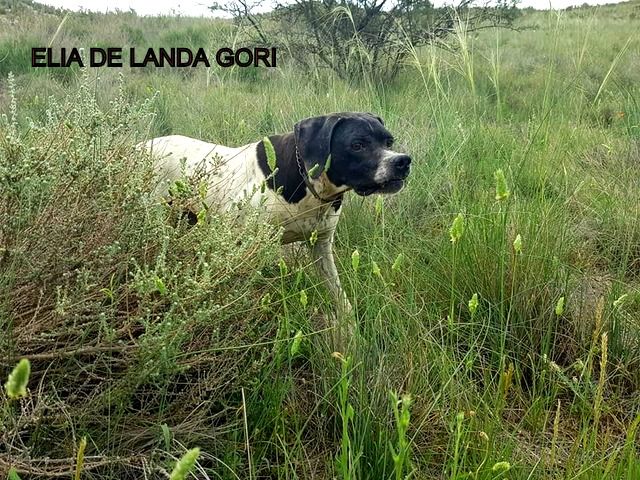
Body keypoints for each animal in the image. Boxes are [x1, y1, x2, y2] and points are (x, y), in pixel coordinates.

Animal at [141, 114, 410, 326]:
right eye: (357, 144)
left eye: (389, 141)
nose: (403, 161)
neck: (309, 185)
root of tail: (139, 146)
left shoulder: (321, 247)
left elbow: (339, 296)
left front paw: (351, 330)